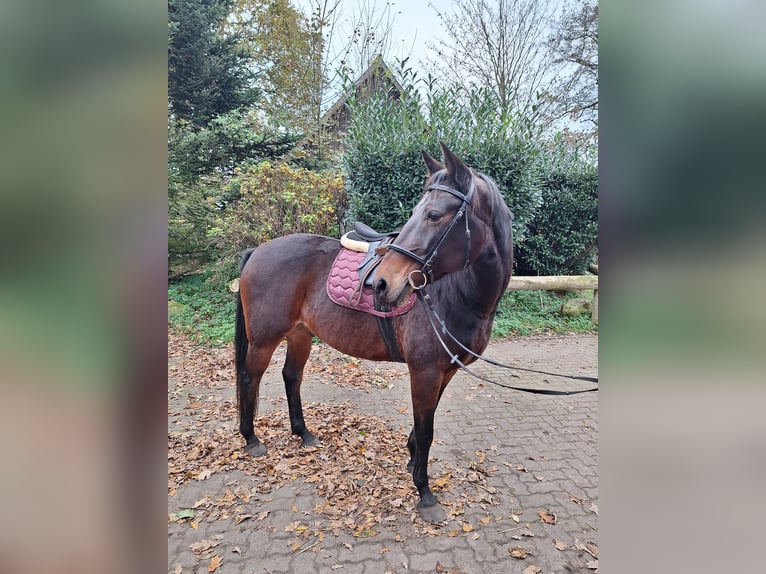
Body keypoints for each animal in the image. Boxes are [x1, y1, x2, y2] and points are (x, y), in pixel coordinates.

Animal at [236, 143, 516, 520]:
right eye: (419, 211)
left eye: (433, 215)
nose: (383, 283)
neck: (457, 292)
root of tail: (257, 251)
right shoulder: (425, 371)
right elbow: (426, 430)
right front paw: (424, 493)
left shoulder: (445, 371)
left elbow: (424, 424)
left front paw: (412, 461)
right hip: (264, 339)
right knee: (250, 378)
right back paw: (251, 439)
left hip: (300, 335)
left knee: (291, 376)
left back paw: (303, 434)